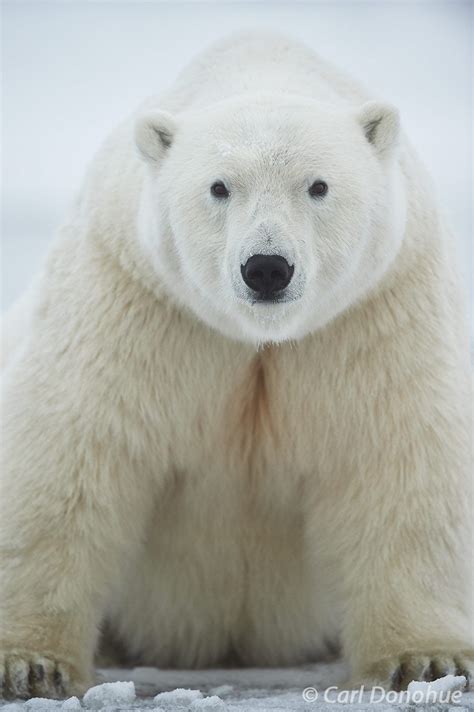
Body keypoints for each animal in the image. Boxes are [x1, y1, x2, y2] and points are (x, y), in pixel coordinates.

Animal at [0, 30, 474, 700]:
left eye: (318, 185)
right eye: (220, 186)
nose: (267, 268)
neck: (260, 337)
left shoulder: (372, 309)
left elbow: (393, 457)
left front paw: (427, 661)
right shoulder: (139, 299)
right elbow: (73, 452)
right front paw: (30, 664)